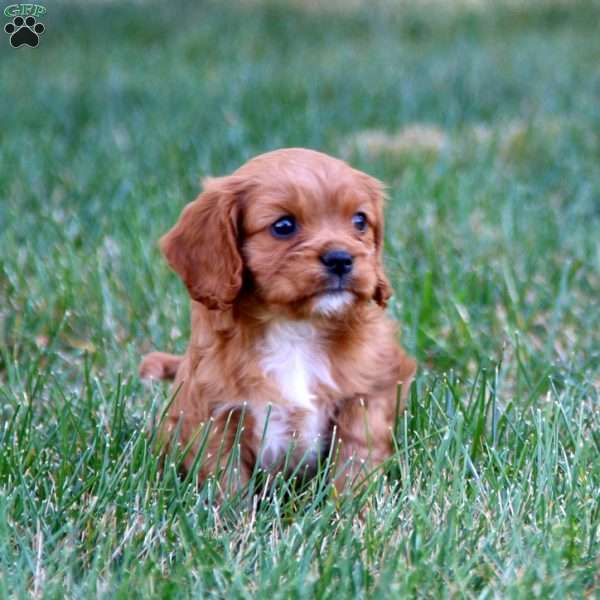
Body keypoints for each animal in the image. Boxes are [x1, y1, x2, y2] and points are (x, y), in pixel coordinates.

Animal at [141, 149, 414, 492]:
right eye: (283, 225)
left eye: (360, 221)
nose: (341, 259)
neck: (296, 327)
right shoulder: (213, 414)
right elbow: (226, 478)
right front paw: (233, 509)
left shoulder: (367, 395)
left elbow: (356, 460)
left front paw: (356, 505)